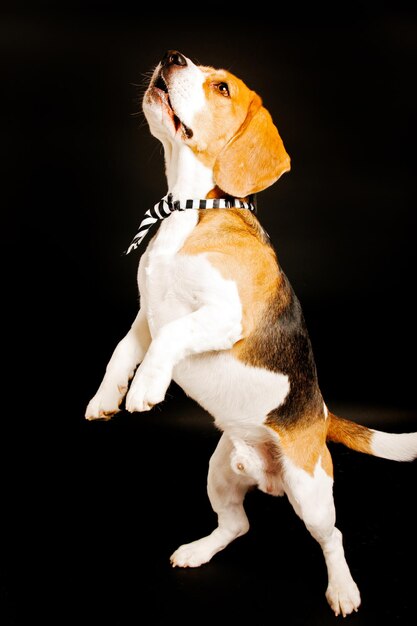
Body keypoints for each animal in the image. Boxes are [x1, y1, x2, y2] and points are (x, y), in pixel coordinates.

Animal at [85, 48, 416, 616]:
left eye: (222, 88)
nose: (172, 56)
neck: (192, 211)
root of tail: (320, 416)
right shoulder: (146, 314)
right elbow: (121, 351)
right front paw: (106, 398)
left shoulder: (220, 317)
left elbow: (171, 338)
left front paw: (147, 388)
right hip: (219, 471)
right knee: (236, 525)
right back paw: (199, 550)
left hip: (311, 492)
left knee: (332, 537)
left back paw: (342, 588)